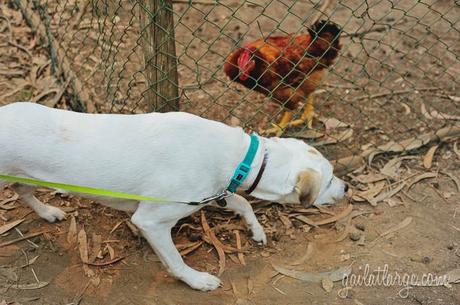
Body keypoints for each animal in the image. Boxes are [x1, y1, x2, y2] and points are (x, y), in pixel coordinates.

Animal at [0, 101, 344, 290]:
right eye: (329, 181)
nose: (347, 188)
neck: (236, 157)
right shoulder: (151, 221)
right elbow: (176, 261)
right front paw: (197, 281)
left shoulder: (215, 191)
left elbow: (244, 202)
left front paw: (255, 230)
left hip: (24, 176)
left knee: (23, 192)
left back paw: (47, 212)